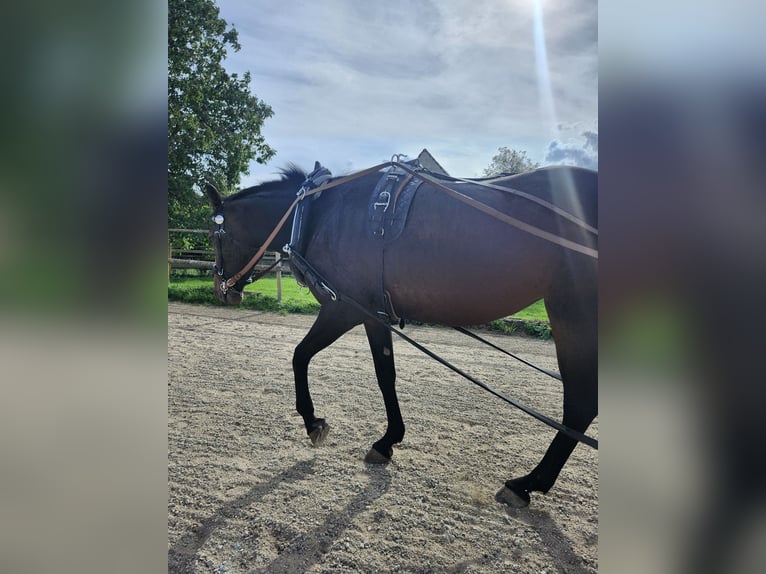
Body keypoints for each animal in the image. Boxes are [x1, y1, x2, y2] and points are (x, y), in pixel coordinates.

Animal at [204, 160, 597, 507]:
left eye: (216, 235)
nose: (223, 291)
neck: (319, 211)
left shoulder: (344, 308)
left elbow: (300, 356)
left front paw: (313, 421)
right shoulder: (375, 315)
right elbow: (385, 375)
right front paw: (389, 439)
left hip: (573, 312)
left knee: (579, 406)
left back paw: (528, 482)